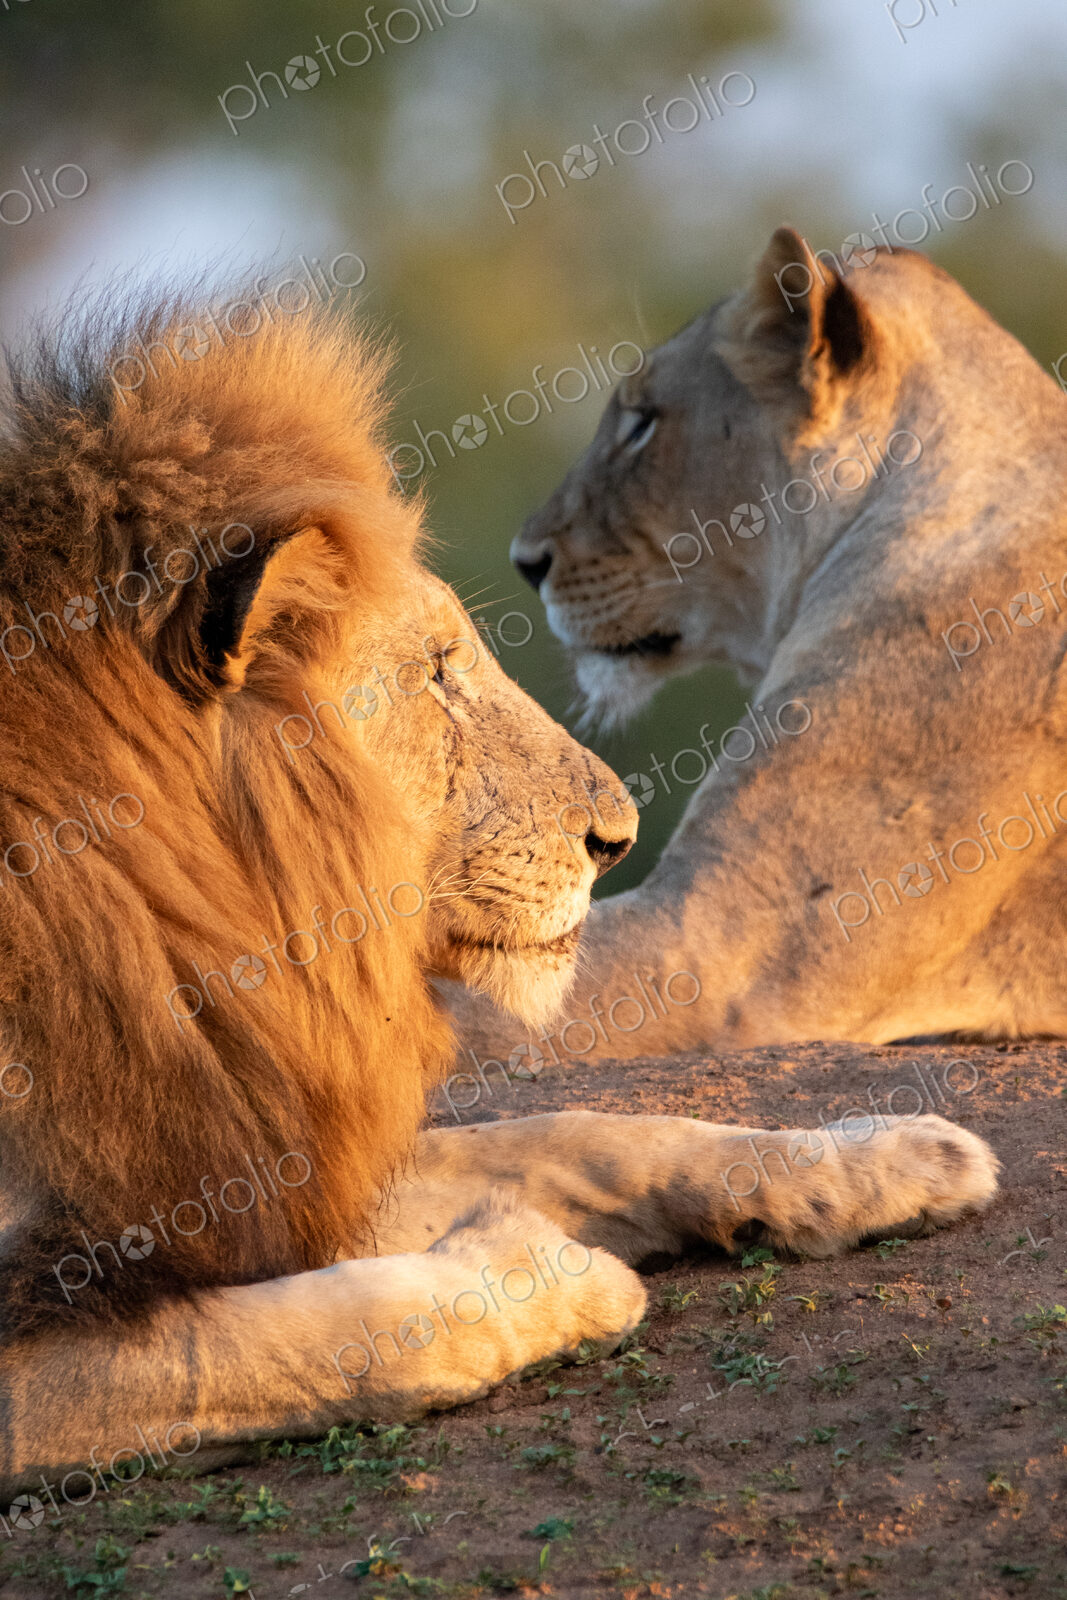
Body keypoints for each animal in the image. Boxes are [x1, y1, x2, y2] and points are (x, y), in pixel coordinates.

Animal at [0, 282, 997, 1503]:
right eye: (436, 671)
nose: (616, 839)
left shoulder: (268, 1153)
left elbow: (589, 1130)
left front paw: (881, 1156)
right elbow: (305, 1336)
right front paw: (548, 1271)